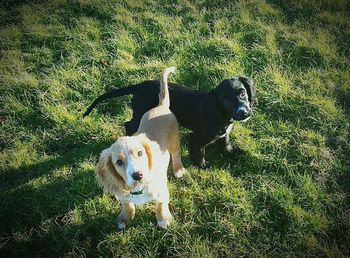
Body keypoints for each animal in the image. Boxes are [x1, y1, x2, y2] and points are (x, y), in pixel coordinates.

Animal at [83, 77, 256, 167]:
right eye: (226, 101)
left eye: (242, 93)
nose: (244, 112)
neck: (220, 113)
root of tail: (140, 85)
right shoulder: (196, 137)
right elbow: (199, 153)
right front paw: (203, 167)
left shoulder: (223, 133)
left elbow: (225, 145)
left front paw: (235, 154)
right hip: (141, 113)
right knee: (129, 124)